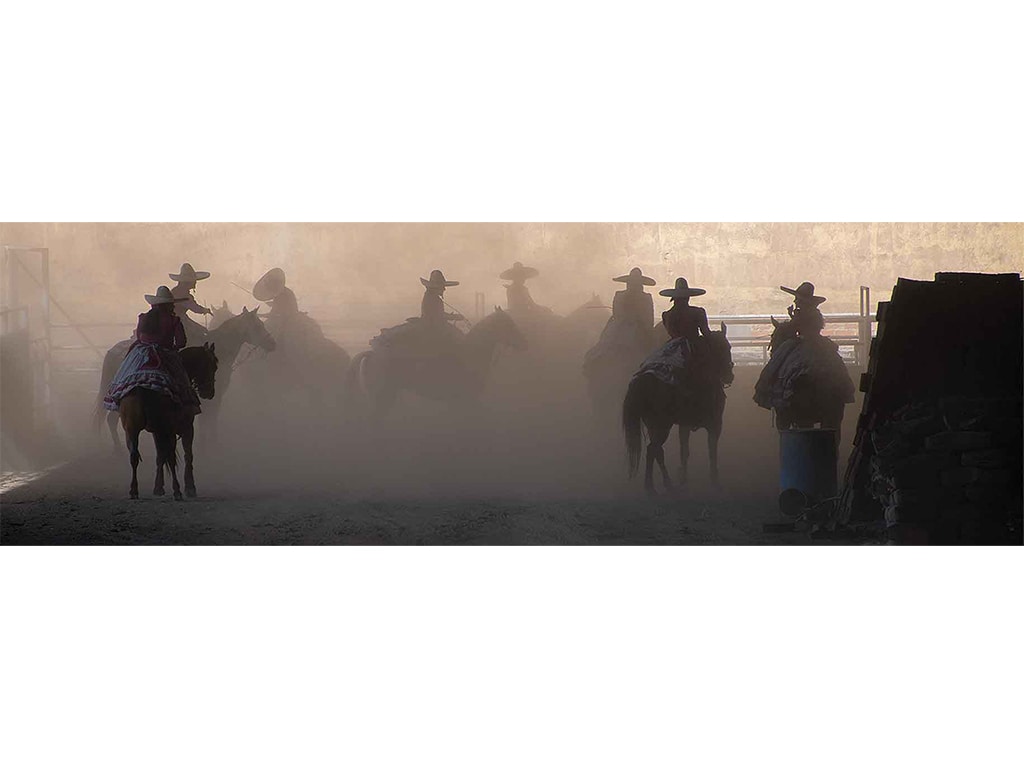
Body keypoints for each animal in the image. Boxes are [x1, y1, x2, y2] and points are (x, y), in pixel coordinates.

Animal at [96, 307, 276, 450]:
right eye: (258, 326)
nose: (272, 344)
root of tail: (113, 352)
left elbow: (208, 419)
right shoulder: (213, 396)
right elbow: (209, 419)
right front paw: (209, 443)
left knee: (112, 419)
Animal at [117, 344, 218, 501]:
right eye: (213, 366)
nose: (209, 392)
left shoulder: (157, 431)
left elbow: (159, 456)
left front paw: (158, 488)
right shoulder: (187, 428)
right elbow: (187, 455)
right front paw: (190, 488)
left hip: (131, 429)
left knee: (134, 456)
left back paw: (134, 491)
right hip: (167, 429)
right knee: (171, 458)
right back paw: (177, 491)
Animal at [346, 307, 528, 417]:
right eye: (507, 323)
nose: (523, 342)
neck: (471, 354)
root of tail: (371, 353)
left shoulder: (460, 402)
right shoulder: (464, 400)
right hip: (382, 397)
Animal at [618, 323, 733, 493]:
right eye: (726, 347)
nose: (729, 376)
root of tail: (644, 380)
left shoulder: (684, 425)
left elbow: (684, 451)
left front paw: (683, 477)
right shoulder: (715, 424)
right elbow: (712, 451)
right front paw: (715, 480)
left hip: (654, 426)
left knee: (656, 451)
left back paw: (662, 485)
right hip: (661, 426)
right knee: (653, 449)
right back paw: (656, 486)